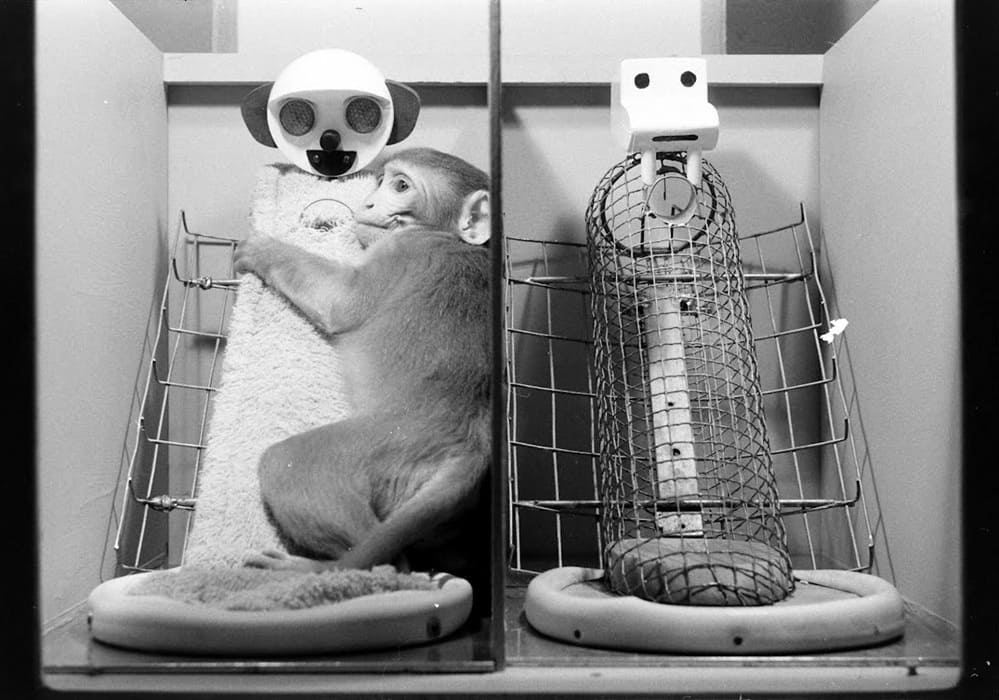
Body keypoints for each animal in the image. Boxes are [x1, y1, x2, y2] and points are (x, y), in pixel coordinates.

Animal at [232, 148, 491, 586]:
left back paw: (326, 570)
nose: (368, 203)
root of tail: (473, 446)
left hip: (387, 445)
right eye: (381, 182)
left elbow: (341, 301)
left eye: (401, 186)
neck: (447, 236)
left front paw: (262, 249)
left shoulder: (404, 253)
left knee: (288, 465)